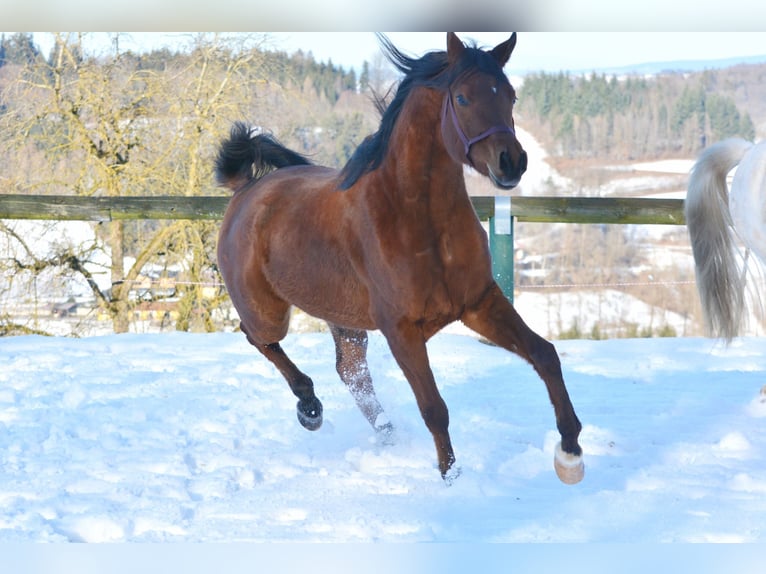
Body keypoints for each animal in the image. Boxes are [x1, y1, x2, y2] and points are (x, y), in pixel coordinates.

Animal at [215, 32, 584, 484]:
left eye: (511, 95)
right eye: (462, 98)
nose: (511, 161)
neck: (420, 220)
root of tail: (245, 191)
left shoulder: (480, 303)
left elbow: (545, 355)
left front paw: (570, 453)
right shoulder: (401, 329)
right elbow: (434, 408)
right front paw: (450, 478)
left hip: (344, 318)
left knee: (350, 370)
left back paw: (385, 431)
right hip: (266, 310)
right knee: (259, 338)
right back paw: (310, 408)